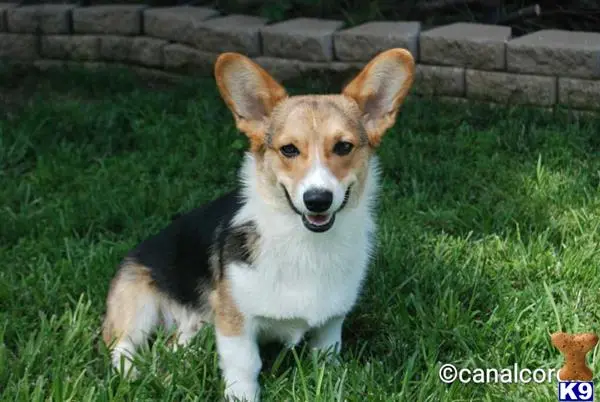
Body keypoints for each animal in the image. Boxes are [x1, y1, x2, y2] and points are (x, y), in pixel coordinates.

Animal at [102, 48, 412, 402]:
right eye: (289, 149)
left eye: (343, 147)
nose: (317, 200)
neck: (304, 243)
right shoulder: (235, 322)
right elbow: (245, 367)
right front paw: (242, 395)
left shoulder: (331, 322)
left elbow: (327, 356)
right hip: (138, 304)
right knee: (122, 346)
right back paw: (133, 376)